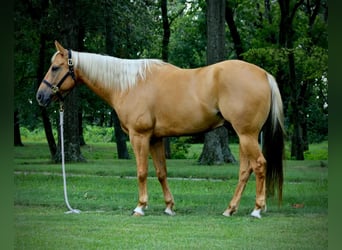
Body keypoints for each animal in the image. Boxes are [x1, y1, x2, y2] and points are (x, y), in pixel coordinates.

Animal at [36, 40, 284, 218]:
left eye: (55, 67)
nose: (40, 96)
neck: (129, 84)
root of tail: (264, 75)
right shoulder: (155, 139)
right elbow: (161, 172)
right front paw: (169, 207)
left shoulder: (140, 136)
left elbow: (142, 172)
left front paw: (140, 207)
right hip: (243, 136)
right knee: (245, 171)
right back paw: (230, 209)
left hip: (247, 135)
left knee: (259, 165)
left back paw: (257, 209)